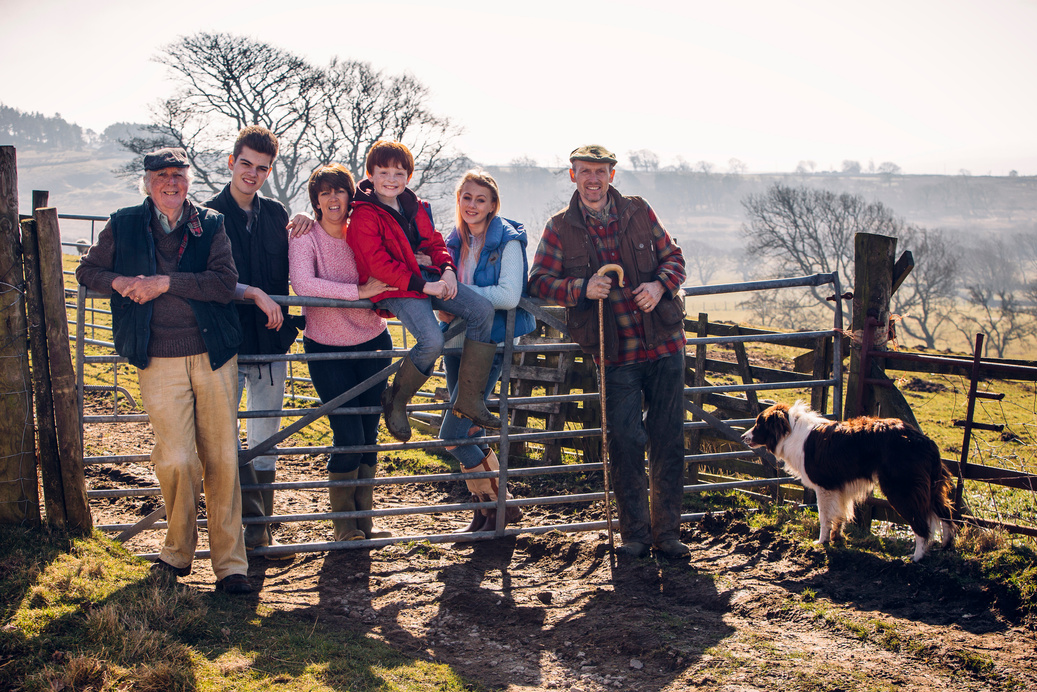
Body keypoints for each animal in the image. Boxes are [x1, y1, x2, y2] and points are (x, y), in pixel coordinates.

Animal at [738, 402, 954, 560]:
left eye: (759, 424)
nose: (742, 436)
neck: (790, 430)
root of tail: (924, 441)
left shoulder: (824, 487)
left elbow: (824, 517)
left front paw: (822, 542)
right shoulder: (839, 488)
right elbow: (839, 516)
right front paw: (836, 538)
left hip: (901, 489)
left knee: (922, 525)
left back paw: (916, 557)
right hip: (931, 488)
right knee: (946, 514)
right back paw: (946, 546)